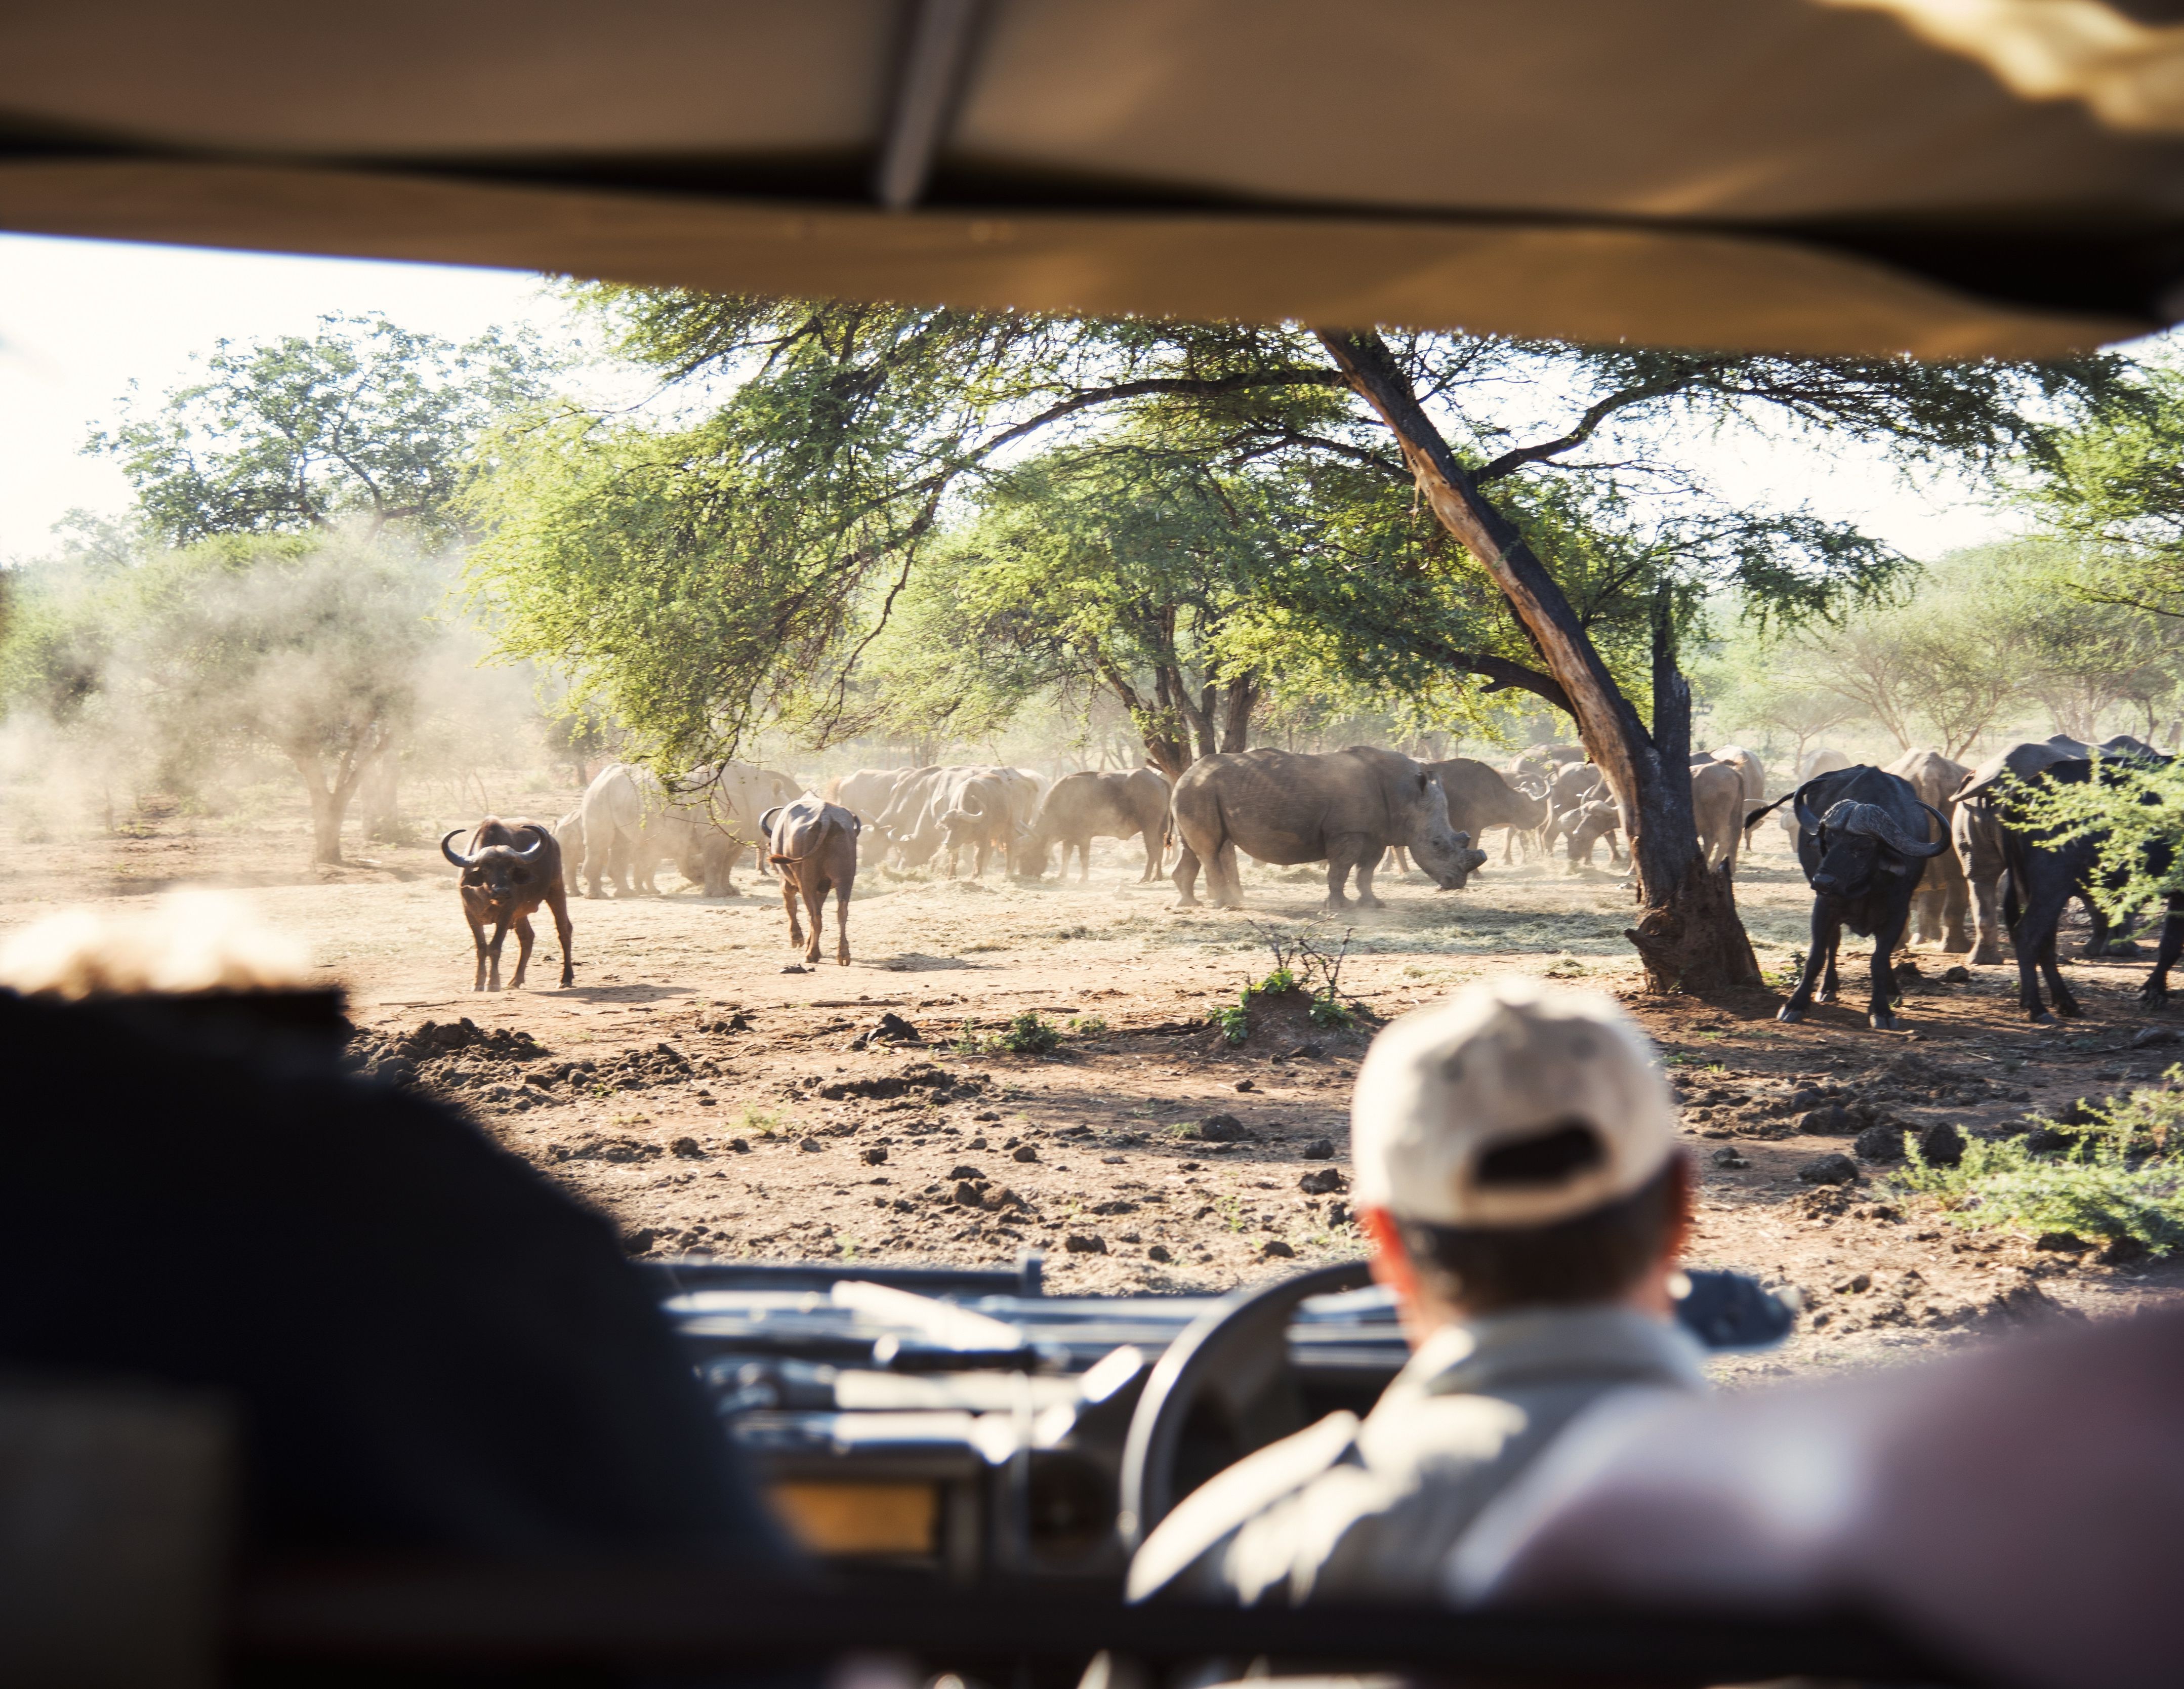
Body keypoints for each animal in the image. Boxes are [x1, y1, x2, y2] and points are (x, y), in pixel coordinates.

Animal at [434, 812, 567, 987]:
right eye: (485, 869)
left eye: (510, 868)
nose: (501, 891)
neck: (487, 898)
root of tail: (553, 842)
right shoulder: (470, 915)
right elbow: (481, 948)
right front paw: (478, 982)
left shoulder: (506, 915)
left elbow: (495, 948)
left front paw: (493, 983)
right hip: (521, 913)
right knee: (527, 937)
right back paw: (516, 980)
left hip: (556, 888)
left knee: (564, 930)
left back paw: (566, 979)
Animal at [760, 800, 860, 970]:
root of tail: (826, 817)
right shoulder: (823, 889)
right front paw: (807, 942)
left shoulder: (786, 883)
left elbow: (791, 906)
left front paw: (798, 939)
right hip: (845, 879)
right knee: (841, 912)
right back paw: (843, 954)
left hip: (806, 882)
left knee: (815, 916)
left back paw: (812, 955)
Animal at [1773, 764, 1948, 1026]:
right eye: (1827, 841)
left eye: (1862, 848)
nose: (1822, 882)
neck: (1865, 889)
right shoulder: (1824, 906)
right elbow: (1816, 956)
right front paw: (1795, 1004)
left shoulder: (1898, 912)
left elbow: (1879, 959)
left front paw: (1882, 1009)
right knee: (1833, 943)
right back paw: (1829, 988)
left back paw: (1892, 992)